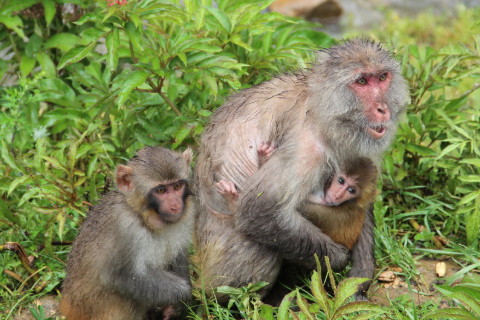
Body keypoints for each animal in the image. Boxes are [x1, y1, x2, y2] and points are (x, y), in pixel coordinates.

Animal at [60, 147, 195, 320]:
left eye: (177, 186)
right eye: (161, 190)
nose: (175, 205)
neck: (141, 214)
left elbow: (178, 255)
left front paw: (176, 308)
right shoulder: (126, 228)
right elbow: (119, 277)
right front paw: (182, 293)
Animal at [194, 38, 408, 302]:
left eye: (382, 77)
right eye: (362, 82)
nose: (383, 109)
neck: (323, 112)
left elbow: (363, 199)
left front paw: (361, 273)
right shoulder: (305, 148)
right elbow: (259, 211)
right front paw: (339, 259)